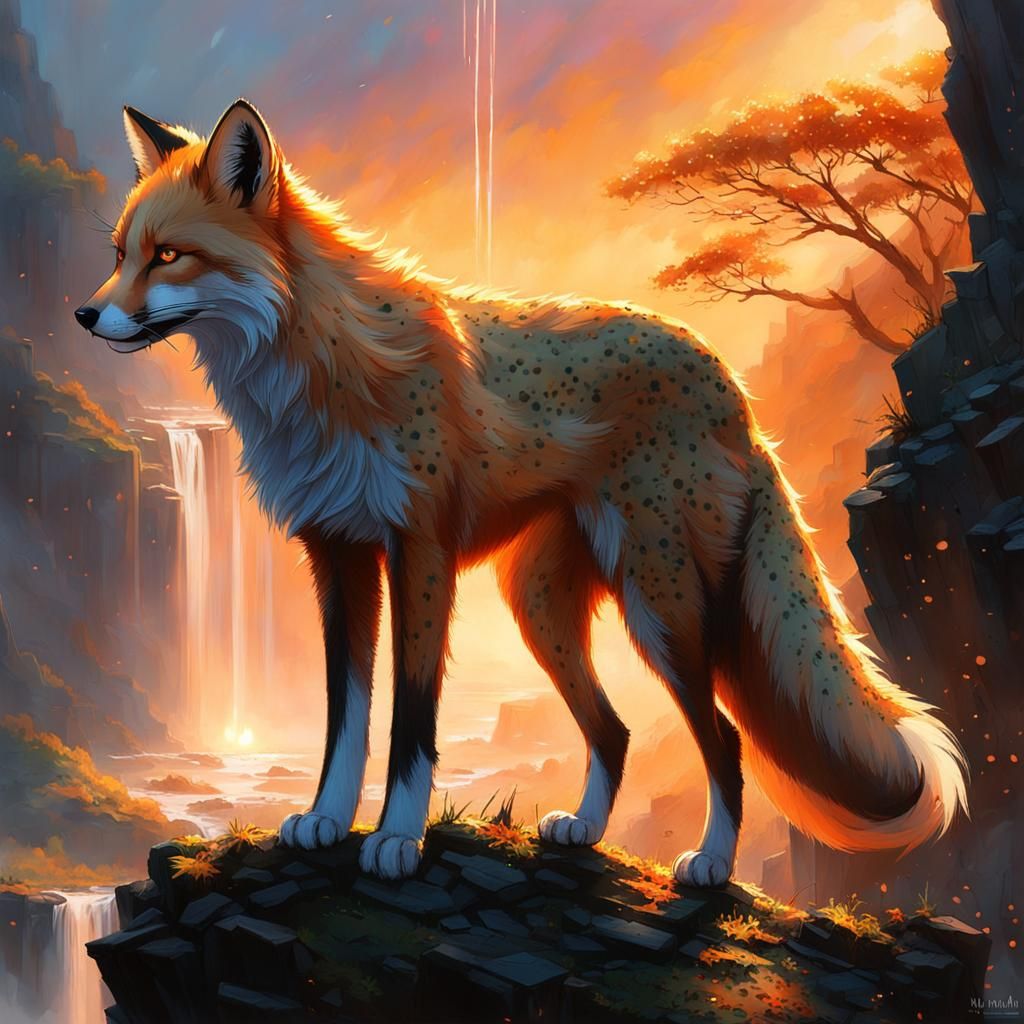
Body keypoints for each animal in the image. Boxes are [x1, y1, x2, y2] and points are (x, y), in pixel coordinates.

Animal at [75, 99, 967, 884]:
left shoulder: (421, 550)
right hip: (539, 603)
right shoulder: (337, 553)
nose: (84, 315)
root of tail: (732, 385)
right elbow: (344, 716)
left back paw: (711, 864)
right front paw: (327, 819)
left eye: (168, 256)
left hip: (663, 603)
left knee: (725, 739)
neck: (323, 368)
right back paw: (586, 832)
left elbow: (412, 720)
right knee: (615, 731)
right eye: (120, 253)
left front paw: (396, 840)